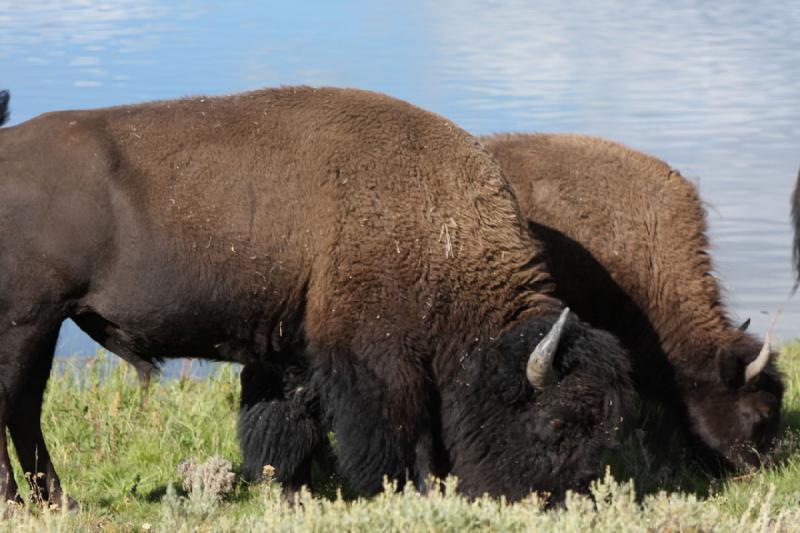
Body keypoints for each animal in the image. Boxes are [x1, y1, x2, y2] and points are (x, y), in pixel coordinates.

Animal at [0, 89, 636, 504]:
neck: (442, 228)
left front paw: (290, 491)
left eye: (602, 432)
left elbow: (285, 420)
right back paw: (29, 501)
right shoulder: (376, 359)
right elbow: (397, 430)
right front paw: (405, 490)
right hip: (28, 322)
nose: (551, 502)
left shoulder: (295, 350)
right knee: (16, 405)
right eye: (554, 423)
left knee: (24, 409)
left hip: (43, 325)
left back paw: (56, 501)